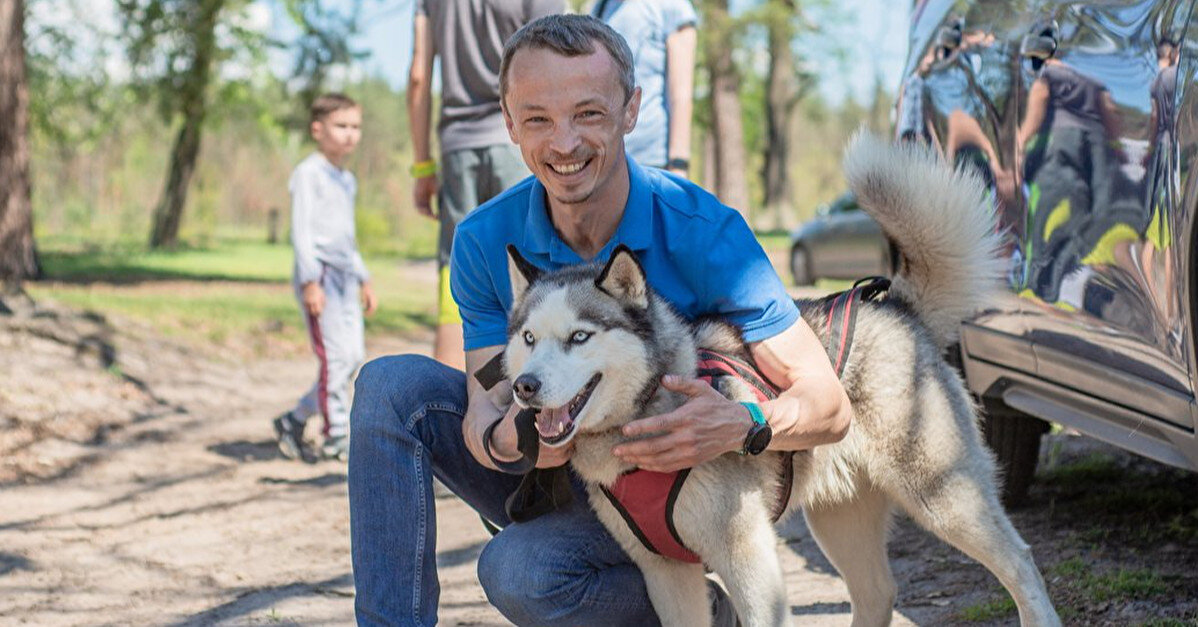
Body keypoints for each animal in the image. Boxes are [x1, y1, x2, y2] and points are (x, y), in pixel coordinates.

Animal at [500, 136, 1063, 627]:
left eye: (579, 336)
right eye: (528, 338)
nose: (524, 387)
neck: (648, 408)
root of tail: (896, 308)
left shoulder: (747, 553)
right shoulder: (664, 572)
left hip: (941, 495)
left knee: (1019, 558)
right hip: (841, 519)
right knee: (878, 593)